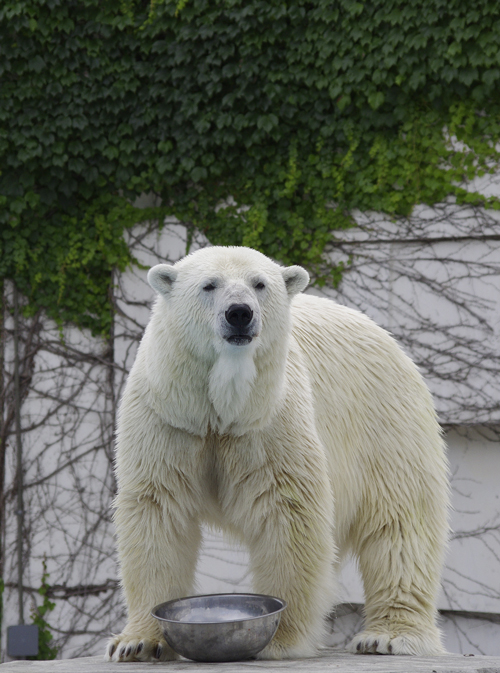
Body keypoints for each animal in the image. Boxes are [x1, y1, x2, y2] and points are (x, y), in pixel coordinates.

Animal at [105, 244, 450, 660]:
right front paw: (139, 642)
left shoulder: (270, 419)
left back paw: (389, 636)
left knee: (400, 523)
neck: (222, 409)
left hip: (386, 422)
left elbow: (286, 512)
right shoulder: (169, 419)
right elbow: (157, 510)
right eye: (209, 285)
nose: (239, 312)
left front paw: (280, 639)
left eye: (259, 284)